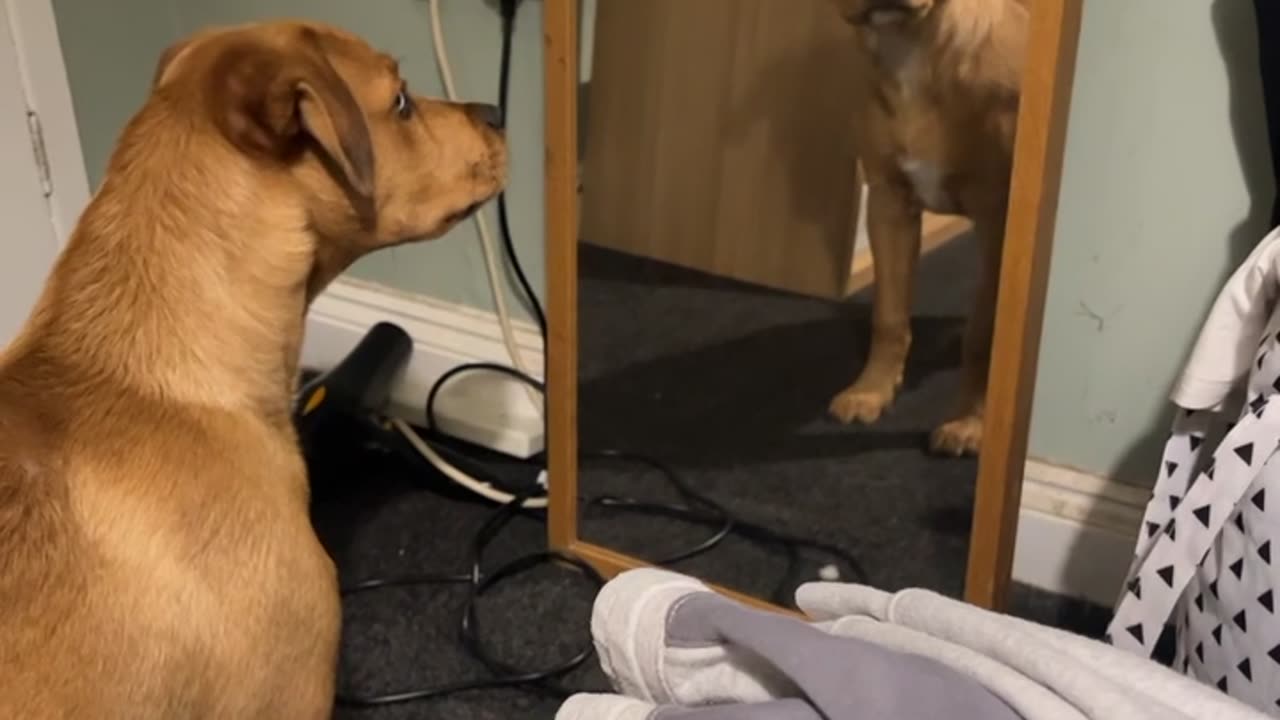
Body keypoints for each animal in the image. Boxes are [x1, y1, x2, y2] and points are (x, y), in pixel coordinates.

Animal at [829, 0, 1029, 453]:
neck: (911, 49)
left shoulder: (998, 220)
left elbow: (983, 334)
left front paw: (970, 422)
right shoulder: (888, 204)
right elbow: (888, 317)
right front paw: (871, 391)